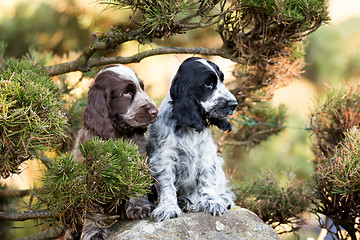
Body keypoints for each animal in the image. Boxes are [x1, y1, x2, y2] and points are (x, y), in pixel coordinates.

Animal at [71, 63, 158, 240]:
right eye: (126, 92)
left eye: (142, 87)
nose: (155, 111)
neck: (119, 133)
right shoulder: (90, 176)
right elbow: (91, 207)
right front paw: (93, 231)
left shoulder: (138, 157)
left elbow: (137, 182)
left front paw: (139, 207)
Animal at [145, 56, 238, 221]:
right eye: (207, 84)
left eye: (222, 80)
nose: (234, 104)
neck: (189, 126)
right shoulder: (163, 158)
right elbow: (167, 184)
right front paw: (168, 208)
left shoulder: (206, 153)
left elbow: (207, 179)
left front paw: (212, 202)